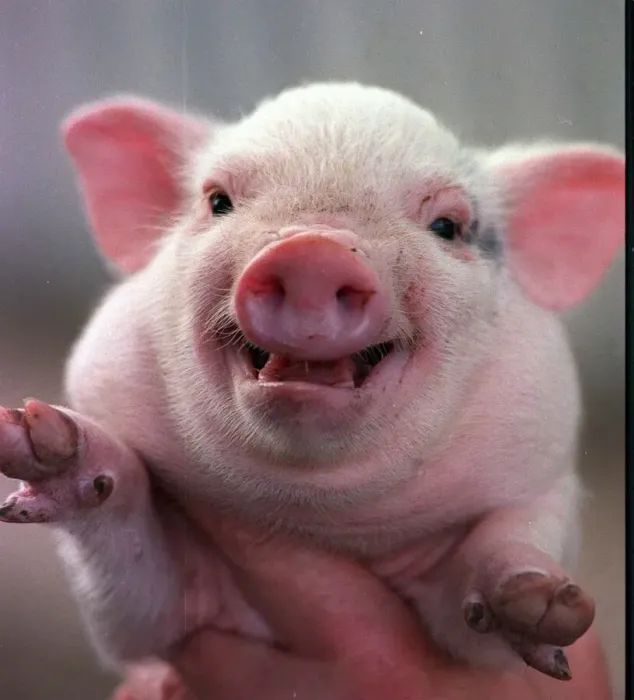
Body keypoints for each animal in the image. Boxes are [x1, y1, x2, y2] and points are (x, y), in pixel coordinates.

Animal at [0, 82, 624, 689]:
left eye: (448, 226)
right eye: (218, 201)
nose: (312, 254)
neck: (316, 514)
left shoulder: (536, 481)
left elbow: (489, 597)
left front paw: (543, 601)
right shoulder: (165, 625)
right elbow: (138, 602)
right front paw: (40, 437)